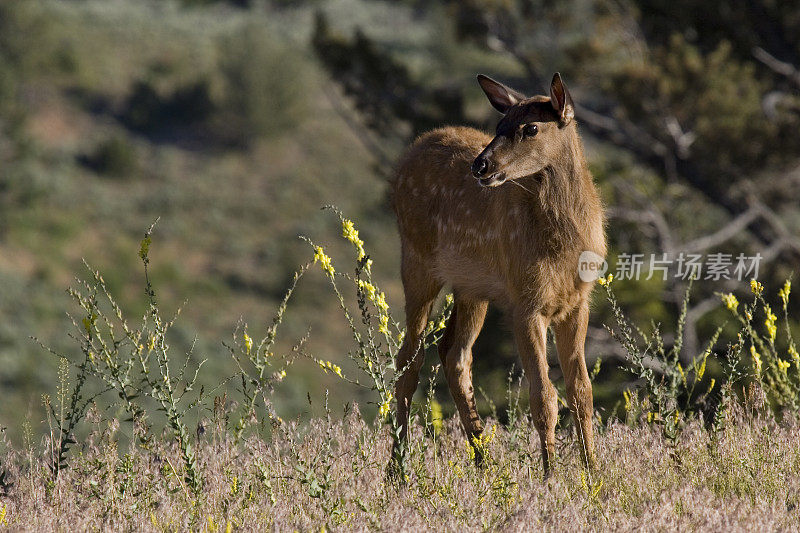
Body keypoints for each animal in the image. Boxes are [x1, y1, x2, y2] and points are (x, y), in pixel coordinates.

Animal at [392, 71, 608, 474]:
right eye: (498, 125)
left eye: (531, 127)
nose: (480, 166)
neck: (565, 246)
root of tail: (409, 153)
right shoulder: (525, 302)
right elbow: (543, 398)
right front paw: (551, 477)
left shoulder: (576, 302)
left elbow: (582, 392)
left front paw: (594, 475)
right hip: (416, 261)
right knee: (408, 359)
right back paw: (398, 469)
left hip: (471, 288)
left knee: (454, 354)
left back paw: (485, 462)